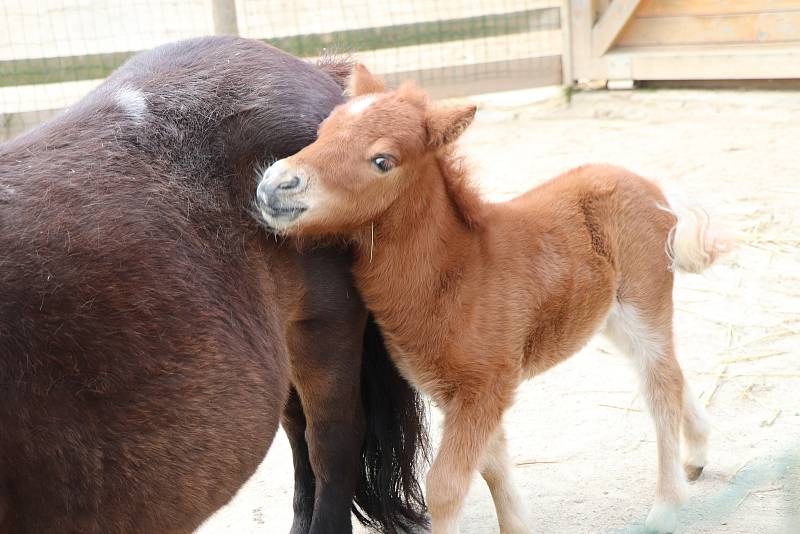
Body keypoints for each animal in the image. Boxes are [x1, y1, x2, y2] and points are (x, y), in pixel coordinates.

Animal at [258, 67, 732, 534]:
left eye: (382, 161)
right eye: (323, 132)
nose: (273, 186)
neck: (457, 272)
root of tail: (655, 190)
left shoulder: (485, 386)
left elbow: (447, 486)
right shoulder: (459, 392)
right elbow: (493, 464)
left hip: (643, 302)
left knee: (660, 385)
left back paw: (666, 508)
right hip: (611, 317)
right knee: (670, 372)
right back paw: (697, 454)